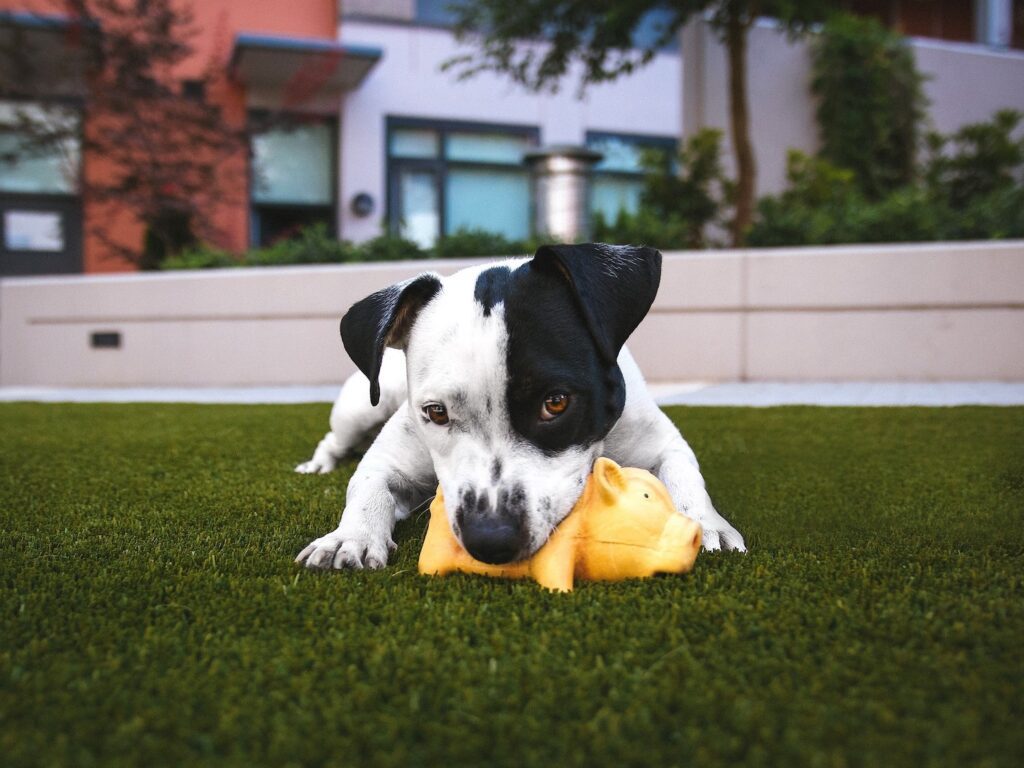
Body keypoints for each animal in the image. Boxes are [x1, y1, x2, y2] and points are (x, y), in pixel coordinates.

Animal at [296, 241, 745, 573]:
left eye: (556, 402)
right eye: (436, 412)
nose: (490, 539)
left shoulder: (661, 442)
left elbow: (685, 476)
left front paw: (705, 523)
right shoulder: (389, 459)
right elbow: (367, 487)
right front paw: (349, 537)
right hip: (360, 408)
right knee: (334, 439)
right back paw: (318, 465)